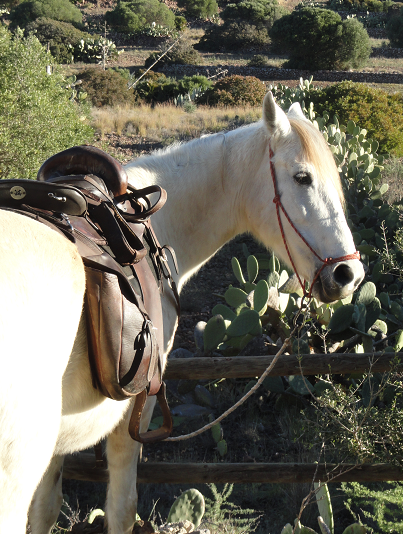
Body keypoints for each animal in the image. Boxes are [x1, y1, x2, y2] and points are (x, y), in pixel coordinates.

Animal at [0, 94, 364, 532]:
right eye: (302, 177)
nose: (348, 274)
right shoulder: (134, 411)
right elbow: (122, 507)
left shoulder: (59, 440)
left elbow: (45, 509)